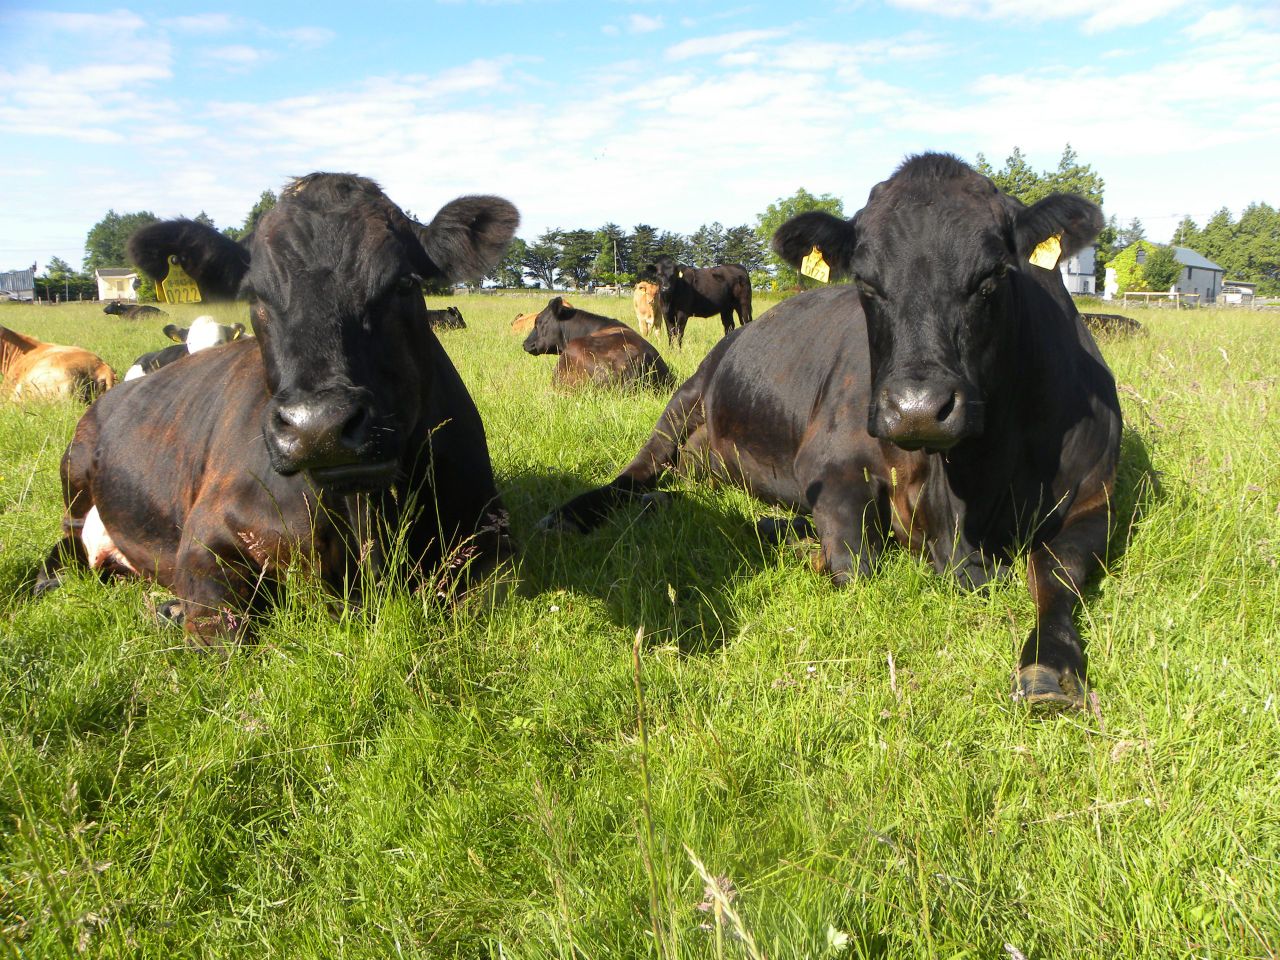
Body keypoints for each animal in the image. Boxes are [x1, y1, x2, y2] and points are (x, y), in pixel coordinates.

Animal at [37, 173, 520, 648]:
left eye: (404, 282)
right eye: (255, 295)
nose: (319, 425)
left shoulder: (489, 534)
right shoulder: (205, 537)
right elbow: (225, 635)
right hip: (75, 481)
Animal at [540, 153, 1122, 710]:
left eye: (994, 275)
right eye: (865, 281)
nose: (916, 409)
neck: (964, 493)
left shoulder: (1098, 500)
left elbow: (1053, 570)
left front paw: (1049, 667)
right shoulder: (829, 464)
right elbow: (857, 565)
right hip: (684, 399)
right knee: (635, 474)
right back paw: (574, 514)